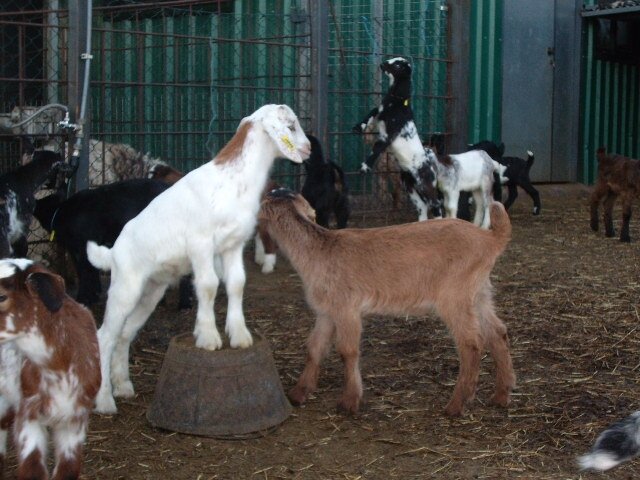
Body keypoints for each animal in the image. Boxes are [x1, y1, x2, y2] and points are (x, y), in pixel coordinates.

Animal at [86, 104, 311, 414]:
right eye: (290, 126)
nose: (308, 149)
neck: (232, 180)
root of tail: (113, 252)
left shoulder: (233, 245)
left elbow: (236, 284)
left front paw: (239, 335)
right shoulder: (201, 244)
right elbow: (208, 286)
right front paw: (208, 337)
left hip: (150, 291)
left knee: (124, 333)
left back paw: (123, 387)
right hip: (125, 286)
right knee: (104, 336)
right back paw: (105, 401)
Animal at [259, 189, 515, 417]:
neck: (318, 251)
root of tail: (490, 238)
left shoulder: (346, 308)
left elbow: (347, 351)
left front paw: (349, 402)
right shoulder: (326, 312)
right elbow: (314, 347)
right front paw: (298, 394)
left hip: (455, 295)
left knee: (471, 344)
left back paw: (456, 405)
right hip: (479, 293)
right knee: (497, 332)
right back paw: (501, 395)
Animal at [352, 57, 440, 220]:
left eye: (398, 65)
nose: (382, 64)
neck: (397, 103)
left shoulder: (389, 134)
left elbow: (376, 150)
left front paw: (364, 168)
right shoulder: (379, 111)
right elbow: (371, 113)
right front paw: (357, 127)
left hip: (425, 186)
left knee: (435, 204)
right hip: (410, 187)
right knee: (422, 208)